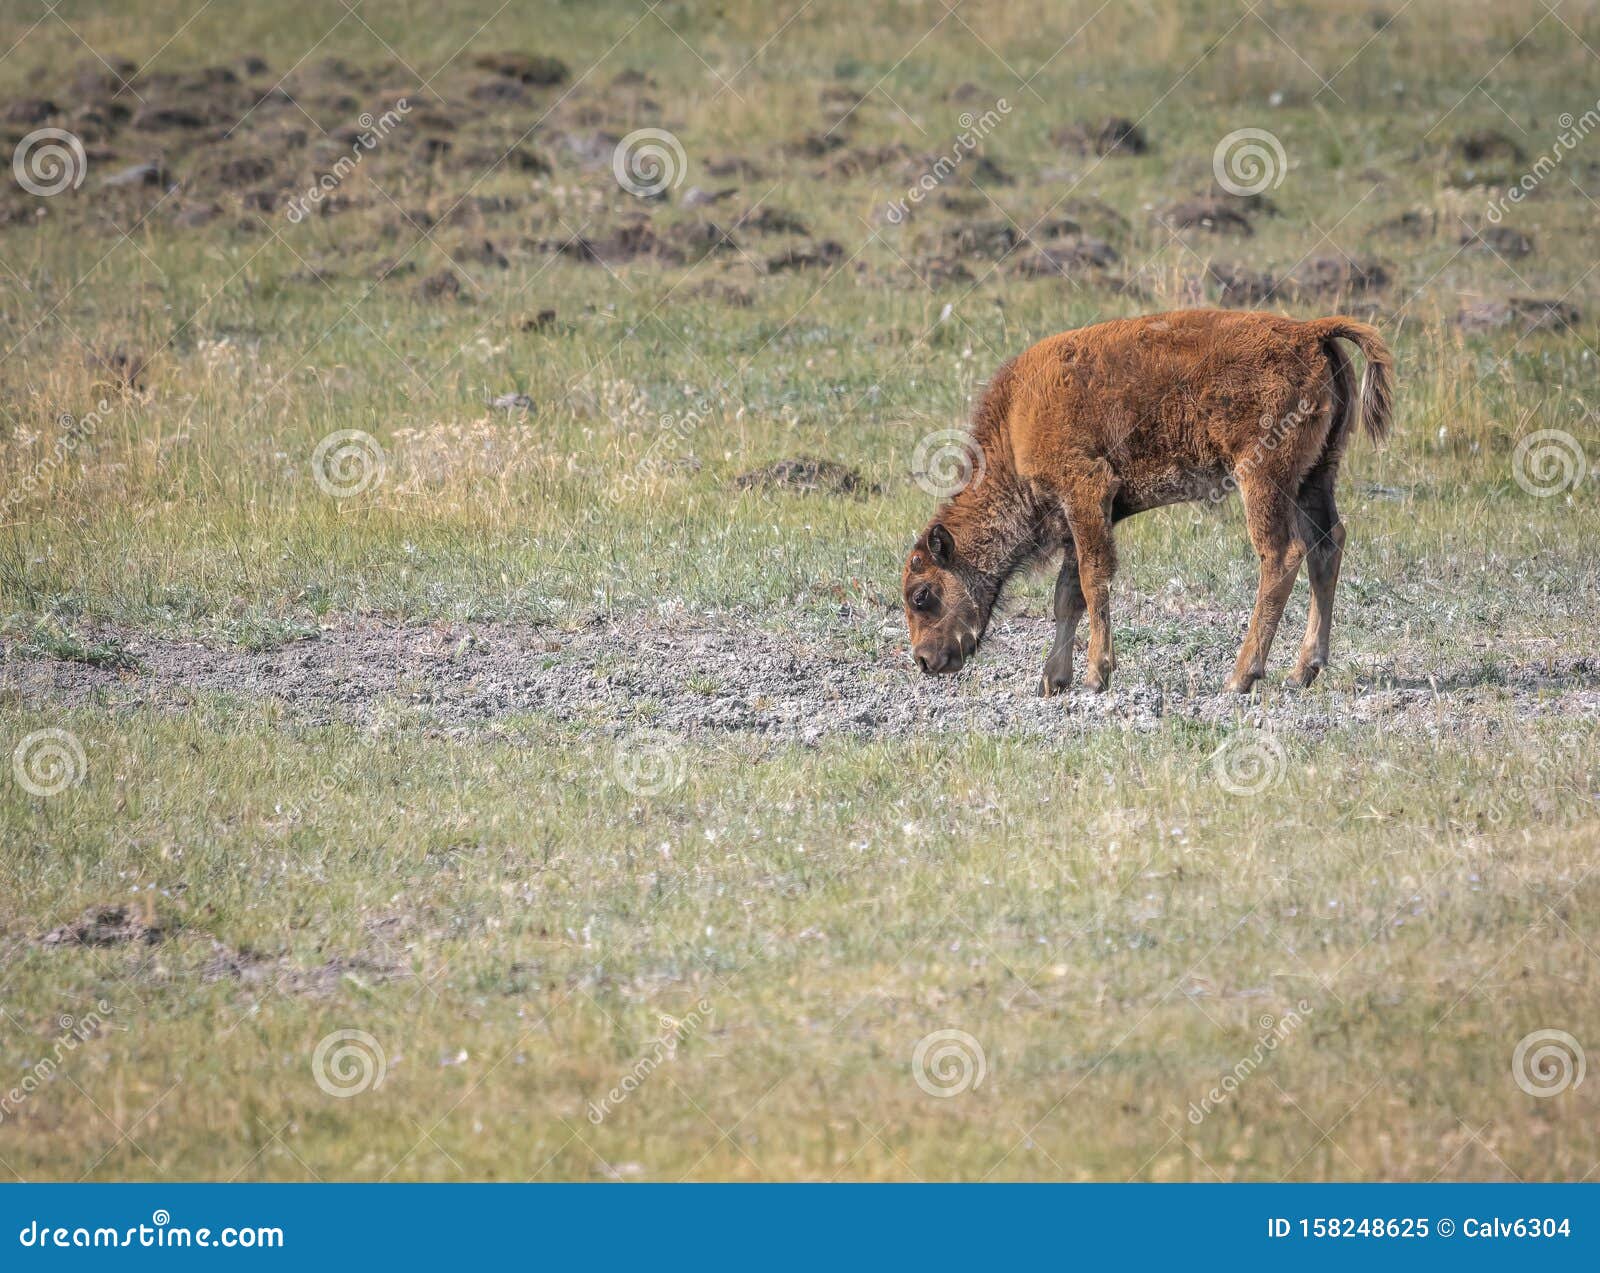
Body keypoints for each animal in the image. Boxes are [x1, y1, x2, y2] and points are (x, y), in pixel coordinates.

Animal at [908, 313, 1395, 700]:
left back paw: (1240, 677)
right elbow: (1067, 595)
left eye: (921, 594)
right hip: (1316, 476)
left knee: (1282, 555)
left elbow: (1092, 581)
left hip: (1261, 478)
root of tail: (1310, 331)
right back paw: (1302, 672)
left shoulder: (1086, 492)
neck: (1015, 423)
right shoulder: (1079, 519)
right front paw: (1052, 681)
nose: (924, 660)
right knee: (1326, 548)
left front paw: (1094, 675)